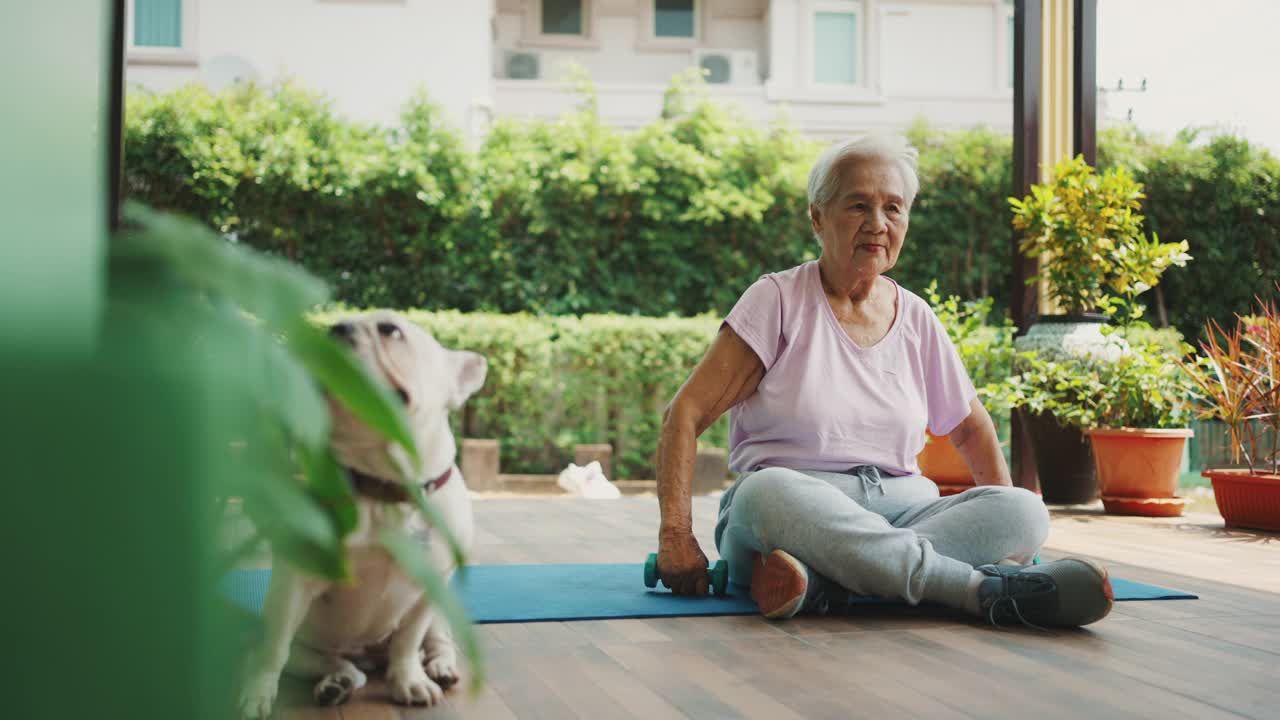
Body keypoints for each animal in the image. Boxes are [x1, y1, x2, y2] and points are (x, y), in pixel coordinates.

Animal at [239, 310, 483, 717]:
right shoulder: (295, 580)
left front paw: (410, 681)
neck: (382, 485)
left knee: (436, 639)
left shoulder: (428, 587)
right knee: (337, 664)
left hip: (439, 609)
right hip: (312, 649)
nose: (335, 329)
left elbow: (408, 641)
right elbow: (274, 646)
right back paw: (336, 684)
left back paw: (439, 666)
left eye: (389, 330)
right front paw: (255, 692)